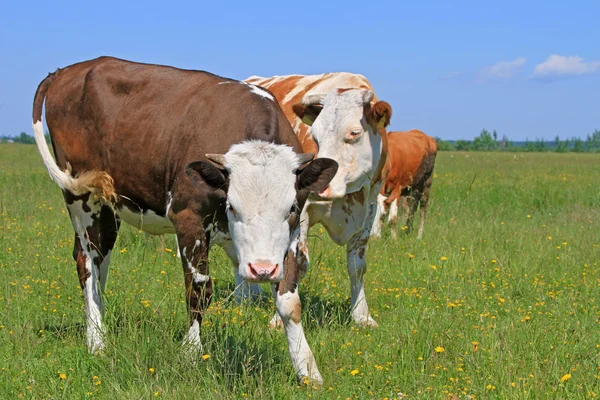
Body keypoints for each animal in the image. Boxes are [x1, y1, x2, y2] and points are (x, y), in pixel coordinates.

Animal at [32, 54, 340, 382]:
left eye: (291, 208)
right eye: (232, 207)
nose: (262, 270)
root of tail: (71, 69)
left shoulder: (292, 235)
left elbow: (290, 301)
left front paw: (307, 369)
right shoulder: (188, 219)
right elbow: (199, 289)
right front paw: (191, 353)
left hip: (108, 204)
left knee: (101, 258)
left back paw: (99, 324)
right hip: (80, 194)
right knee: (87, 261)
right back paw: (96, 340)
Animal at [245, 73, 392, 326]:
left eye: (354, 133)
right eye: (315, 136)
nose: (322, 184)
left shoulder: (370, 209)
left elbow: (357, 266)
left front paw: (362, 316)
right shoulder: (300, 211)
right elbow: (297, 265)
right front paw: (277, 320)